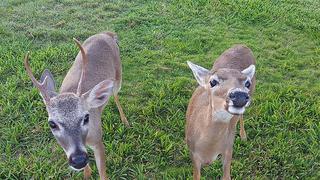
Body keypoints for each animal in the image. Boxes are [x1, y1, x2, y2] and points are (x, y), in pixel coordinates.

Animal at [24, 31, 129, 179]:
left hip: (118, 76)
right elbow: (87, 171)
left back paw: (125, 121)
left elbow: (103, 175)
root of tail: (107, 33)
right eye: (52, 124)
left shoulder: (98, 141)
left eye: (86, 117)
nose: (78, 160)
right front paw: (87, 173)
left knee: (115, 95)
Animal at [185, 44, 255, 179]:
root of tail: (242, 45)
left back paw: (243, 136)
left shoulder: (228, 149)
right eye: (213, 81)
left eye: (247, 83)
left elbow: (226, 176)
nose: (239, 95)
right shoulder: (193, 154)